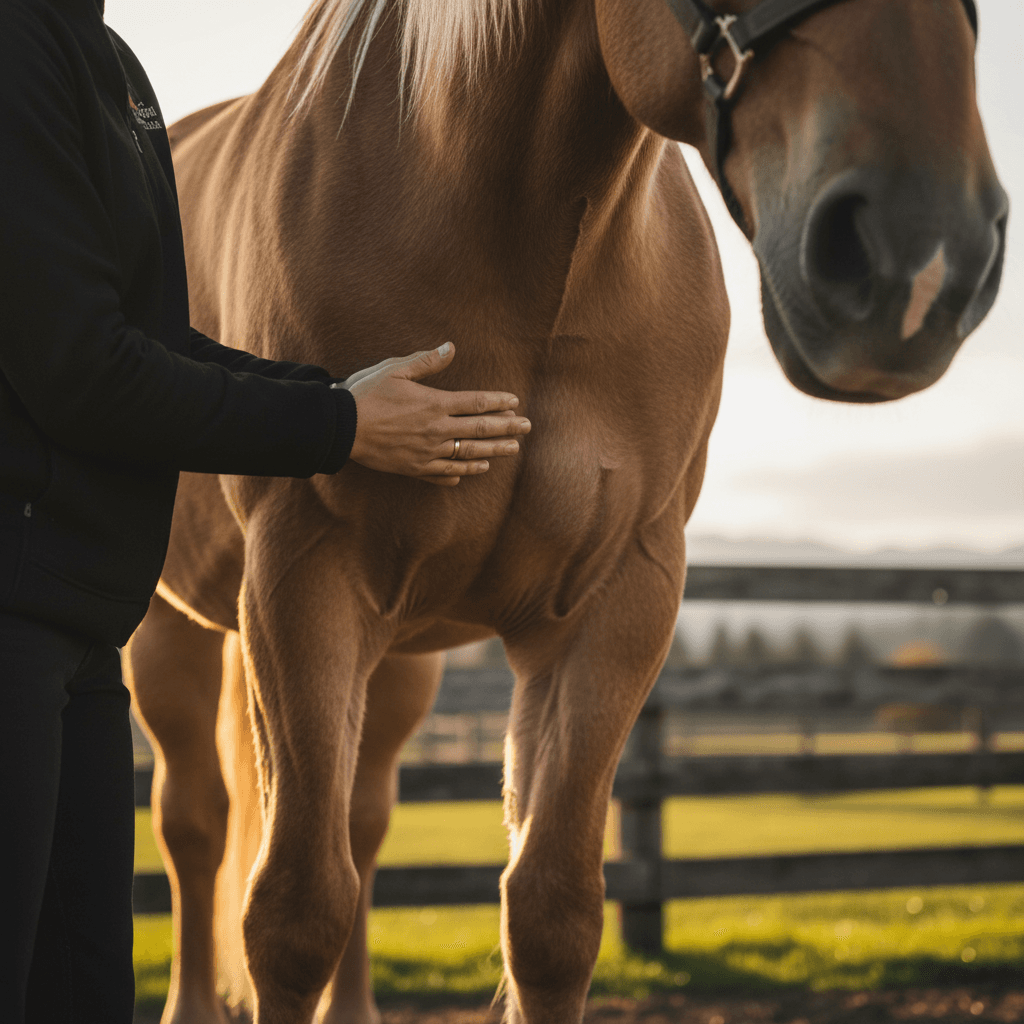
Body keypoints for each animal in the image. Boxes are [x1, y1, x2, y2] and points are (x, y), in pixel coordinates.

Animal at [124, 0, 1006, 1021]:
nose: (925, 261)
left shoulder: (615, 600)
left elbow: (551, 912)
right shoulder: (303, 583)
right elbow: (293, 911)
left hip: (399, 659)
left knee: (363, 823)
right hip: (179, 632)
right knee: (196, 822)